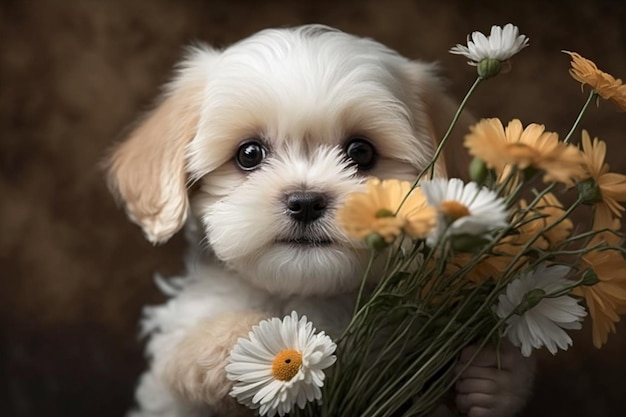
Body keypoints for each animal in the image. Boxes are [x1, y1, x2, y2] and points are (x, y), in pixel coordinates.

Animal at [106, 25, 532, 416]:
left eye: (361, 152)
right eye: (248, 154)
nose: (306, 202)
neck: (306, 298)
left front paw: (492, 381)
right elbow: (188, 353)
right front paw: (244, 342)